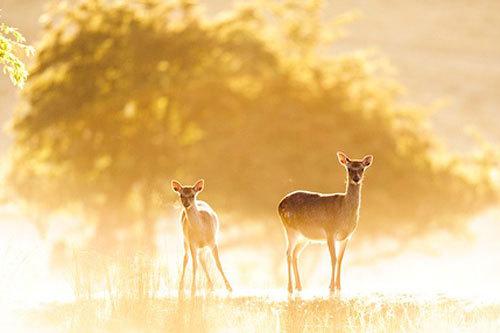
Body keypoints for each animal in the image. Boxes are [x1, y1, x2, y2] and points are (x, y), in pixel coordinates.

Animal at [280, 150, 374, 294]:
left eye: (362, 168)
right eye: (348, 168)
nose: (356, 178)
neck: (344, 217)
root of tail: (279, 205)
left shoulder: (346, 237)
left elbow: (340, 259)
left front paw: (339, 286)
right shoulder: (329, 231)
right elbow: (333, 259)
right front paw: (331, 287)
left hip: (304, 237)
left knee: (295, 253)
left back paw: (299, 286)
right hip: (290, 230)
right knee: (288, 253)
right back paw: (290, 287)